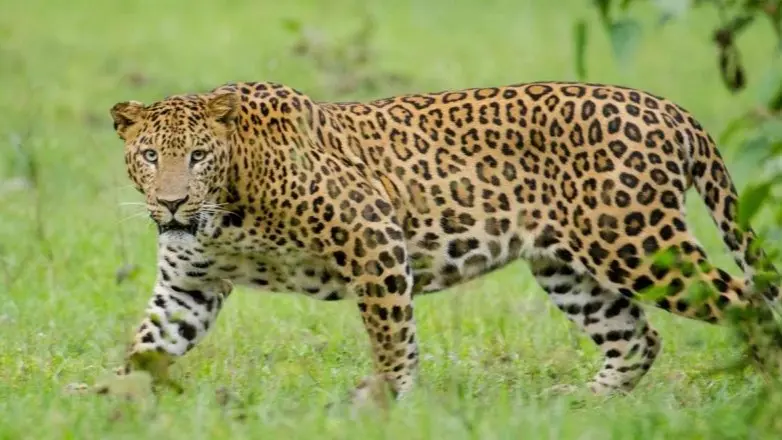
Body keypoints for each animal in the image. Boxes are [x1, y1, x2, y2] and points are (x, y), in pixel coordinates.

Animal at [109, 80, 780, 404]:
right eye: (150, 156)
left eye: (197, 156)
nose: (172, 202)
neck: (226, 210)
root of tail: (668, 108)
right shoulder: (189, 285)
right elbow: (148, 345)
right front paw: (108, 400)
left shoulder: (373, 235)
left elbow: (391, 335)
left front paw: (386, 400)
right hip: (568, 267)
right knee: (637, 337)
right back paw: (585, 403)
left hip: (636, 243)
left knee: (749, 303)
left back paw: (763, 394)